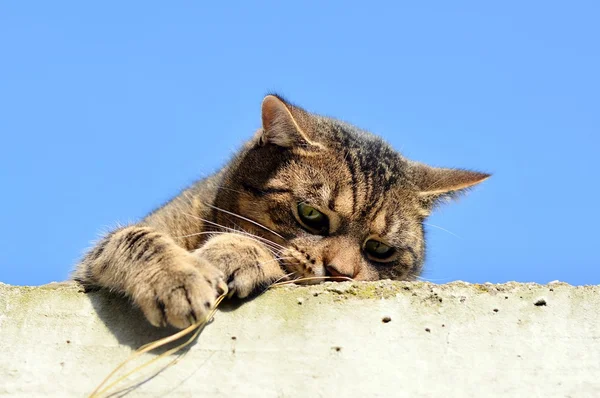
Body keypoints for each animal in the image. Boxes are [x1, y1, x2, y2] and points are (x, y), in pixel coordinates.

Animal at [72, 94, 490, 330]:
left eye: (380, 249)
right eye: (311, 215)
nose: (340, 273)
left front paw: (237, 253)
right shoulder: (88, 268)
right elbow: (136, 238)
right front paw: (176, 279)